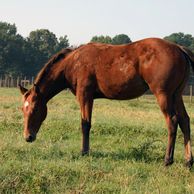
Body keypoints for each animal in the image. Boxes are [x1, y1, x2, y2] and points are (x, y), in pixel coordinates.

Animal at [19, 37, 194, 167]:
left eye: (35, 109)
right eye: (23, 110)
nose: (28, 137)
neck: (73, 62)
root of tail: (179, 48)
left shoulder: (85, 96)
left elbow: (85, 124)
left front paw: (84, 152)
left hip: (163, 95)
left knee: (172, 121)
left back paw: (168, 160)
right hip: (176, 96)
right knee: (185, 121)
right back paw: (188, 161)